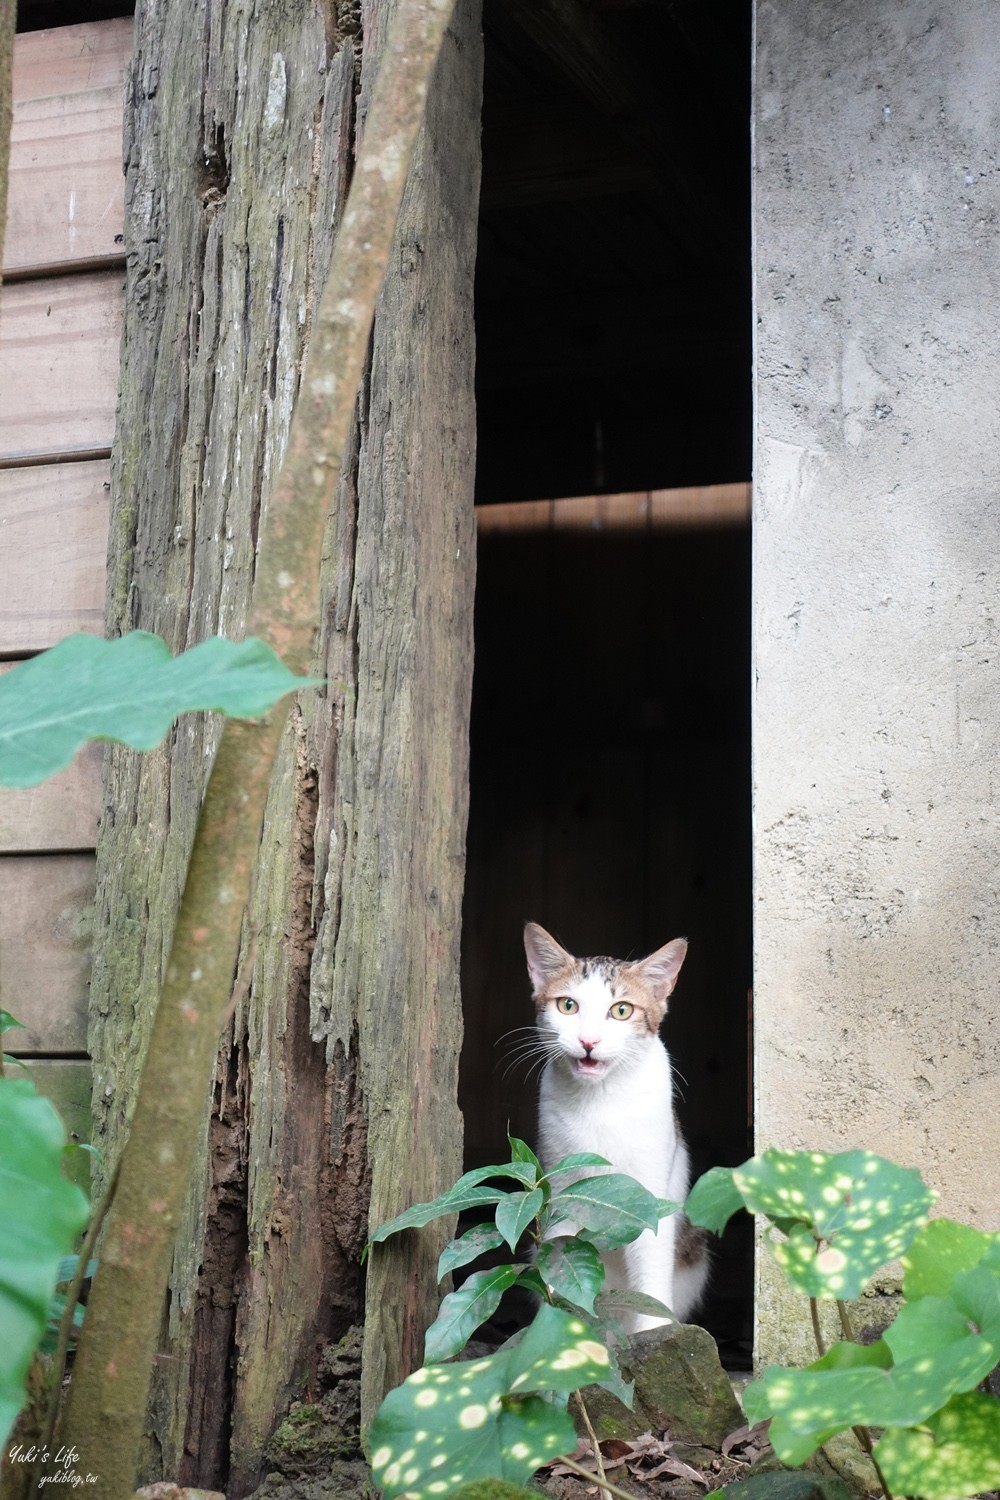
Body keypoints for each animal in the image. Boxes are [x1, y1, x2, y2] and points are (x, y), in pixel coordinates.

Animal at [524, 918, 710, 1332]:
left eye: (621, 1010)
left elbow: (651, 1271)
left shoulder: (650, 1192)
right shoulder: (560, 1187)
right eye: (568, 1006)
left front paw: (655, 1334)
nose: (589, 1041)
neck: (601, 1101)